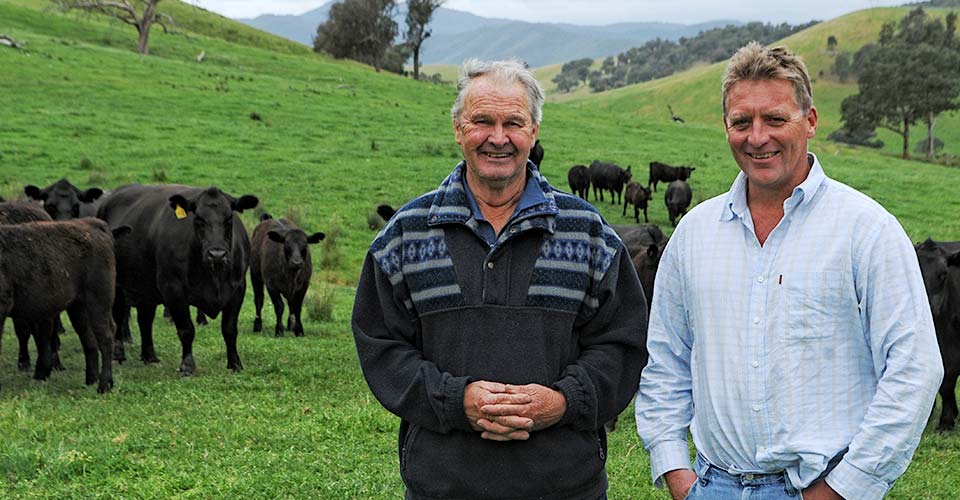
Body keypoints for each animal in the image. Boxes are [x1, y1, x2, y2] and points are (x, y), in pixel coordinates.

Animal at [0, 218, 116, 390]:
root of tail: (91, 223)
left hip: (99, 300)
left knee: (105, 337)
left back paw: (104, 385)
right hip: (78, 307)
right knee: (89, 338)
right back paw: (91, 380)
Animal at [96, 184, 258, 376]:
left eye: (229, 219)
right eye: (199, 219)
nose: (217, 254)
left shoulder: (237, 289)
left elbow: (230, 329)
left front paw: (235, 364)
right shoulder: (173, 290)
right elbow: (186, 329)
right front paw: (187, 366)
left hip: (146, 287)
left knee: (145, 320)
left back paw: (150, 357)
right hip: (117, 284)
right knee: (119, 316)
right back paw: (118, 354)